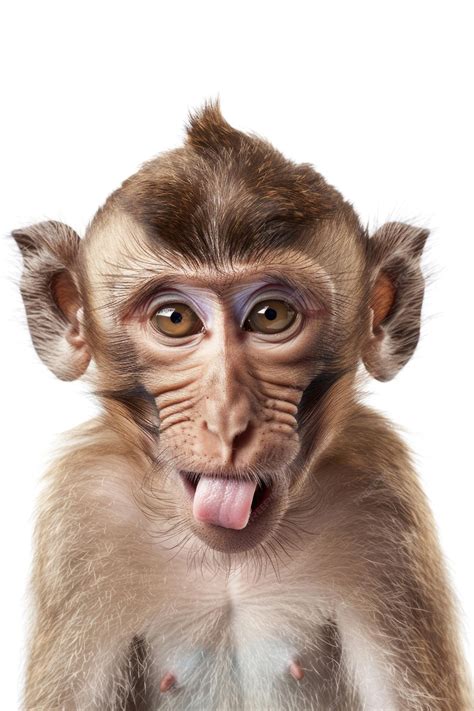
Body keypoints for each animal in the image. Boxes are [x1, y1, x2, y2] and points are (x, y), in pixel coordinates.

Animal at [13, 102, 472, 711]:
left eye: (271, 315)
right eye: (175, 319)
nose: (227, 422)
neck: (228, 565)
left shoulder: (381, 503)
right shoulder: (86, 512)